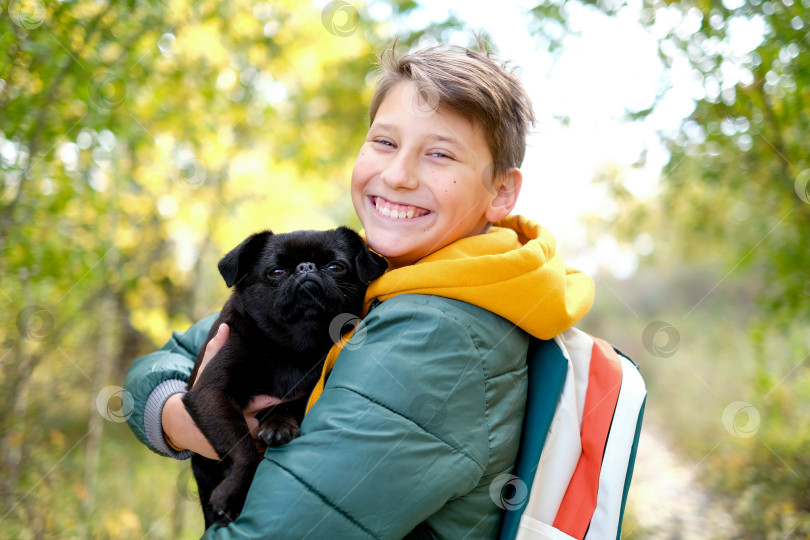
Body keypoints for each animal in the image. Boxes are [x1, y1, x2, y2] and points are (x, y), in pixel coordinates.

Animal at [185, 227, 386, 528]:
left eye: (336, 267)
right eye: (276, 271)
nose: (306, 267)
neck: (292, 345)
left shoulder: (306, 392)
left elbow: (286, 404)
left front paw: (279, 425)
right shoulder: (211, 393)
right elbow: (244, 450)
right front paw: (232, 496)